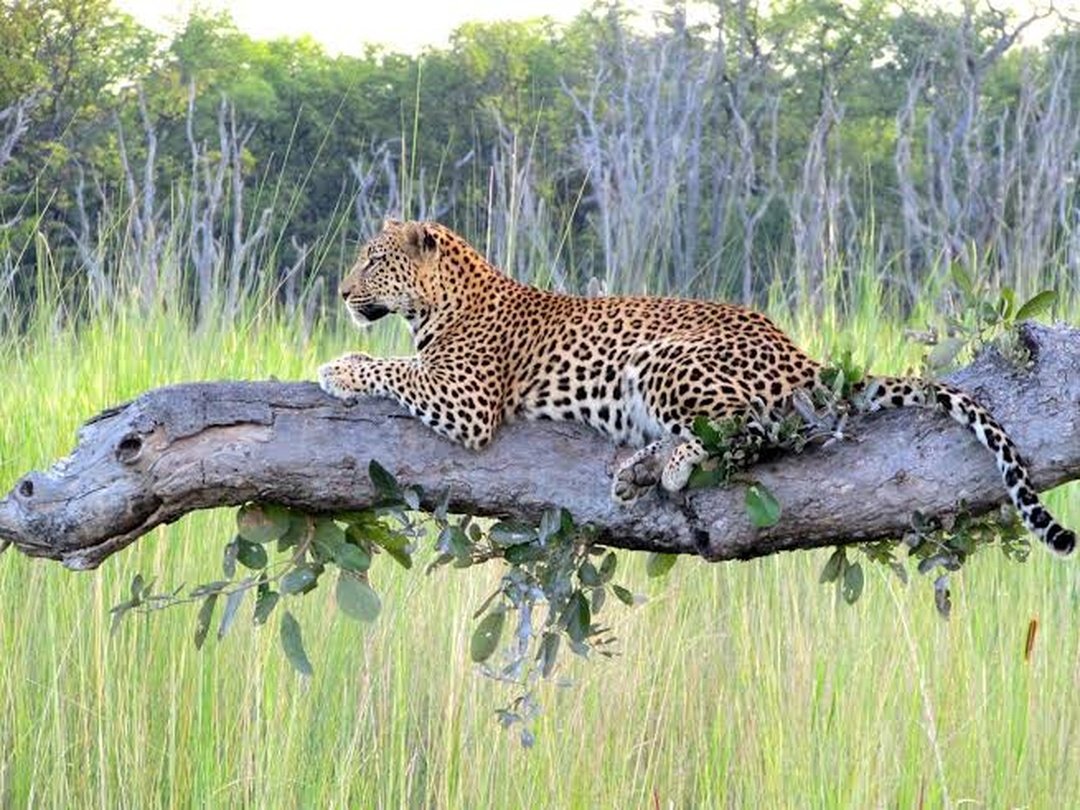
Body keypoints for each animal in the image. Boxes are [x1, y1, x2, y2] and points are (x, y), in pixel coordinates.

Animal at [318, 219, 1075, 556]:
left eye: (373, 261)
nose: (343, 292)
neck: (438, 301)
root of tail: (803, 356)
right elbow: (396, 362)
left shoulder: (467, 400)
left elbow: (396, 370)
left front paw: (338, 369)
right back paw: (638, 471)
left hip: (662, 359)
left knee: (754, 433)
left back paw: (671, 465)